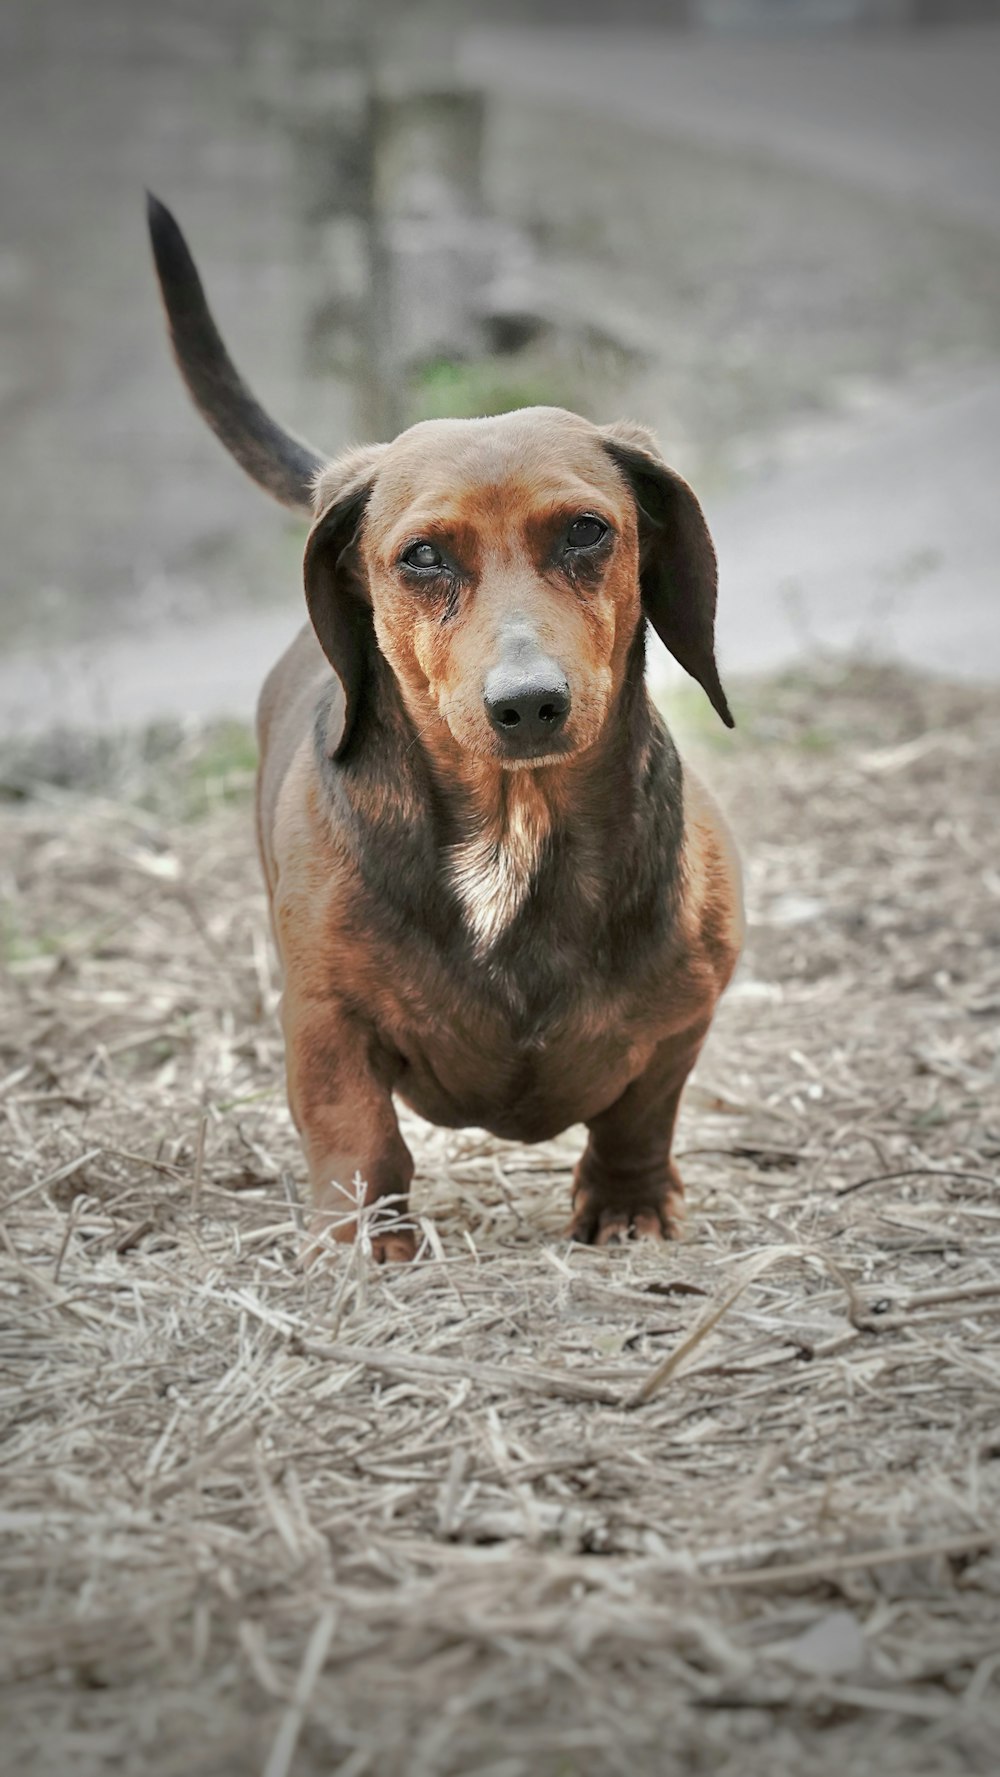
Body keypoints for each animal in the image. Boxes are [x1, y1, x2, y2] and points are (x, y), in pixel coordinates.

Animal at [148, 198, 742, 1265]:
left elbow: (640, 1116)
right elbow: (358, 1133)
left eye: (588, 530)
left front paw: (628, 1204)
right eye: (422, 555)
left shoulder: (687, 1014)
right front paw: (365, 1241)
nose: (529, 704)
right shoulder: (324, 1020)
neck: (516, 827)